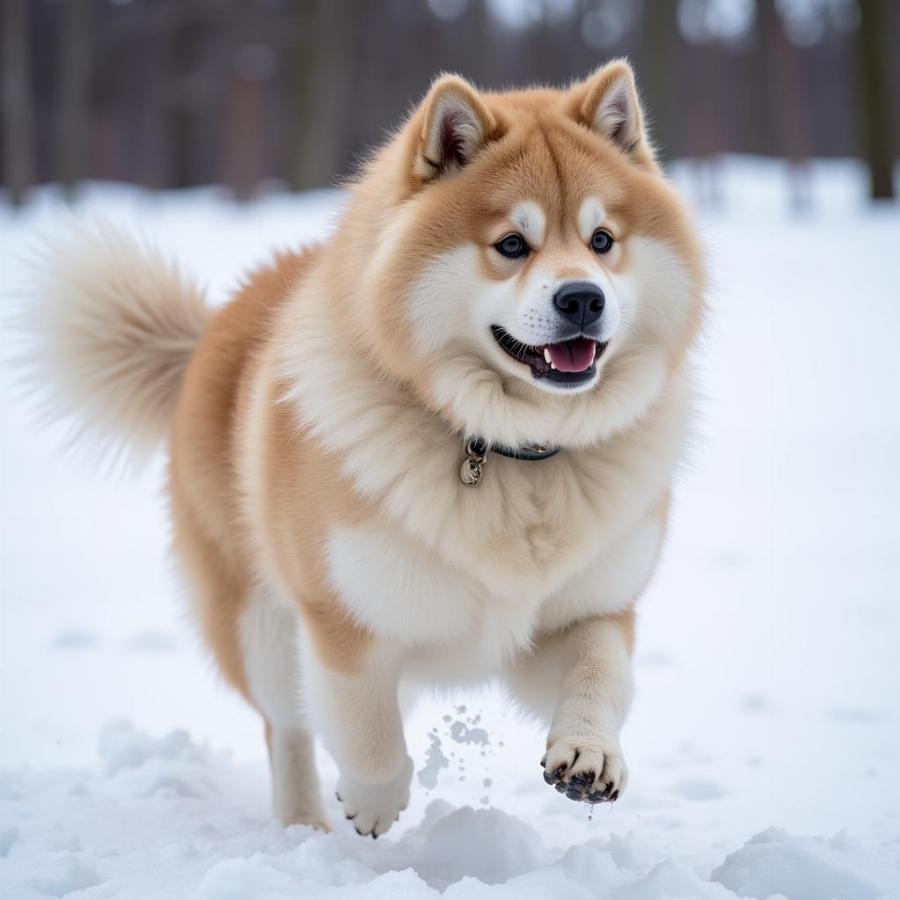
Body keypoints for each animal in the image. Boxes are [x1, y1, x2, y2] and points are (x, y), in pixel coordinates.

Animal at [22, 61, 704, 836]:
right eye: (511, 244)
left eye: (602, 240)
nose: (583, 298)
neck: (508, 449)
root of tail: (209, 334)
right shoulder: (341, 615)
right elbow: (364, 729)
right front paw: (375, 799)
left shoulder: (587, 610)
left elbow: (601, 674)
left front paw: (589, 754)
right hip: (257, 625)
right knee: (288, 727)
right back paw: (303, 828)